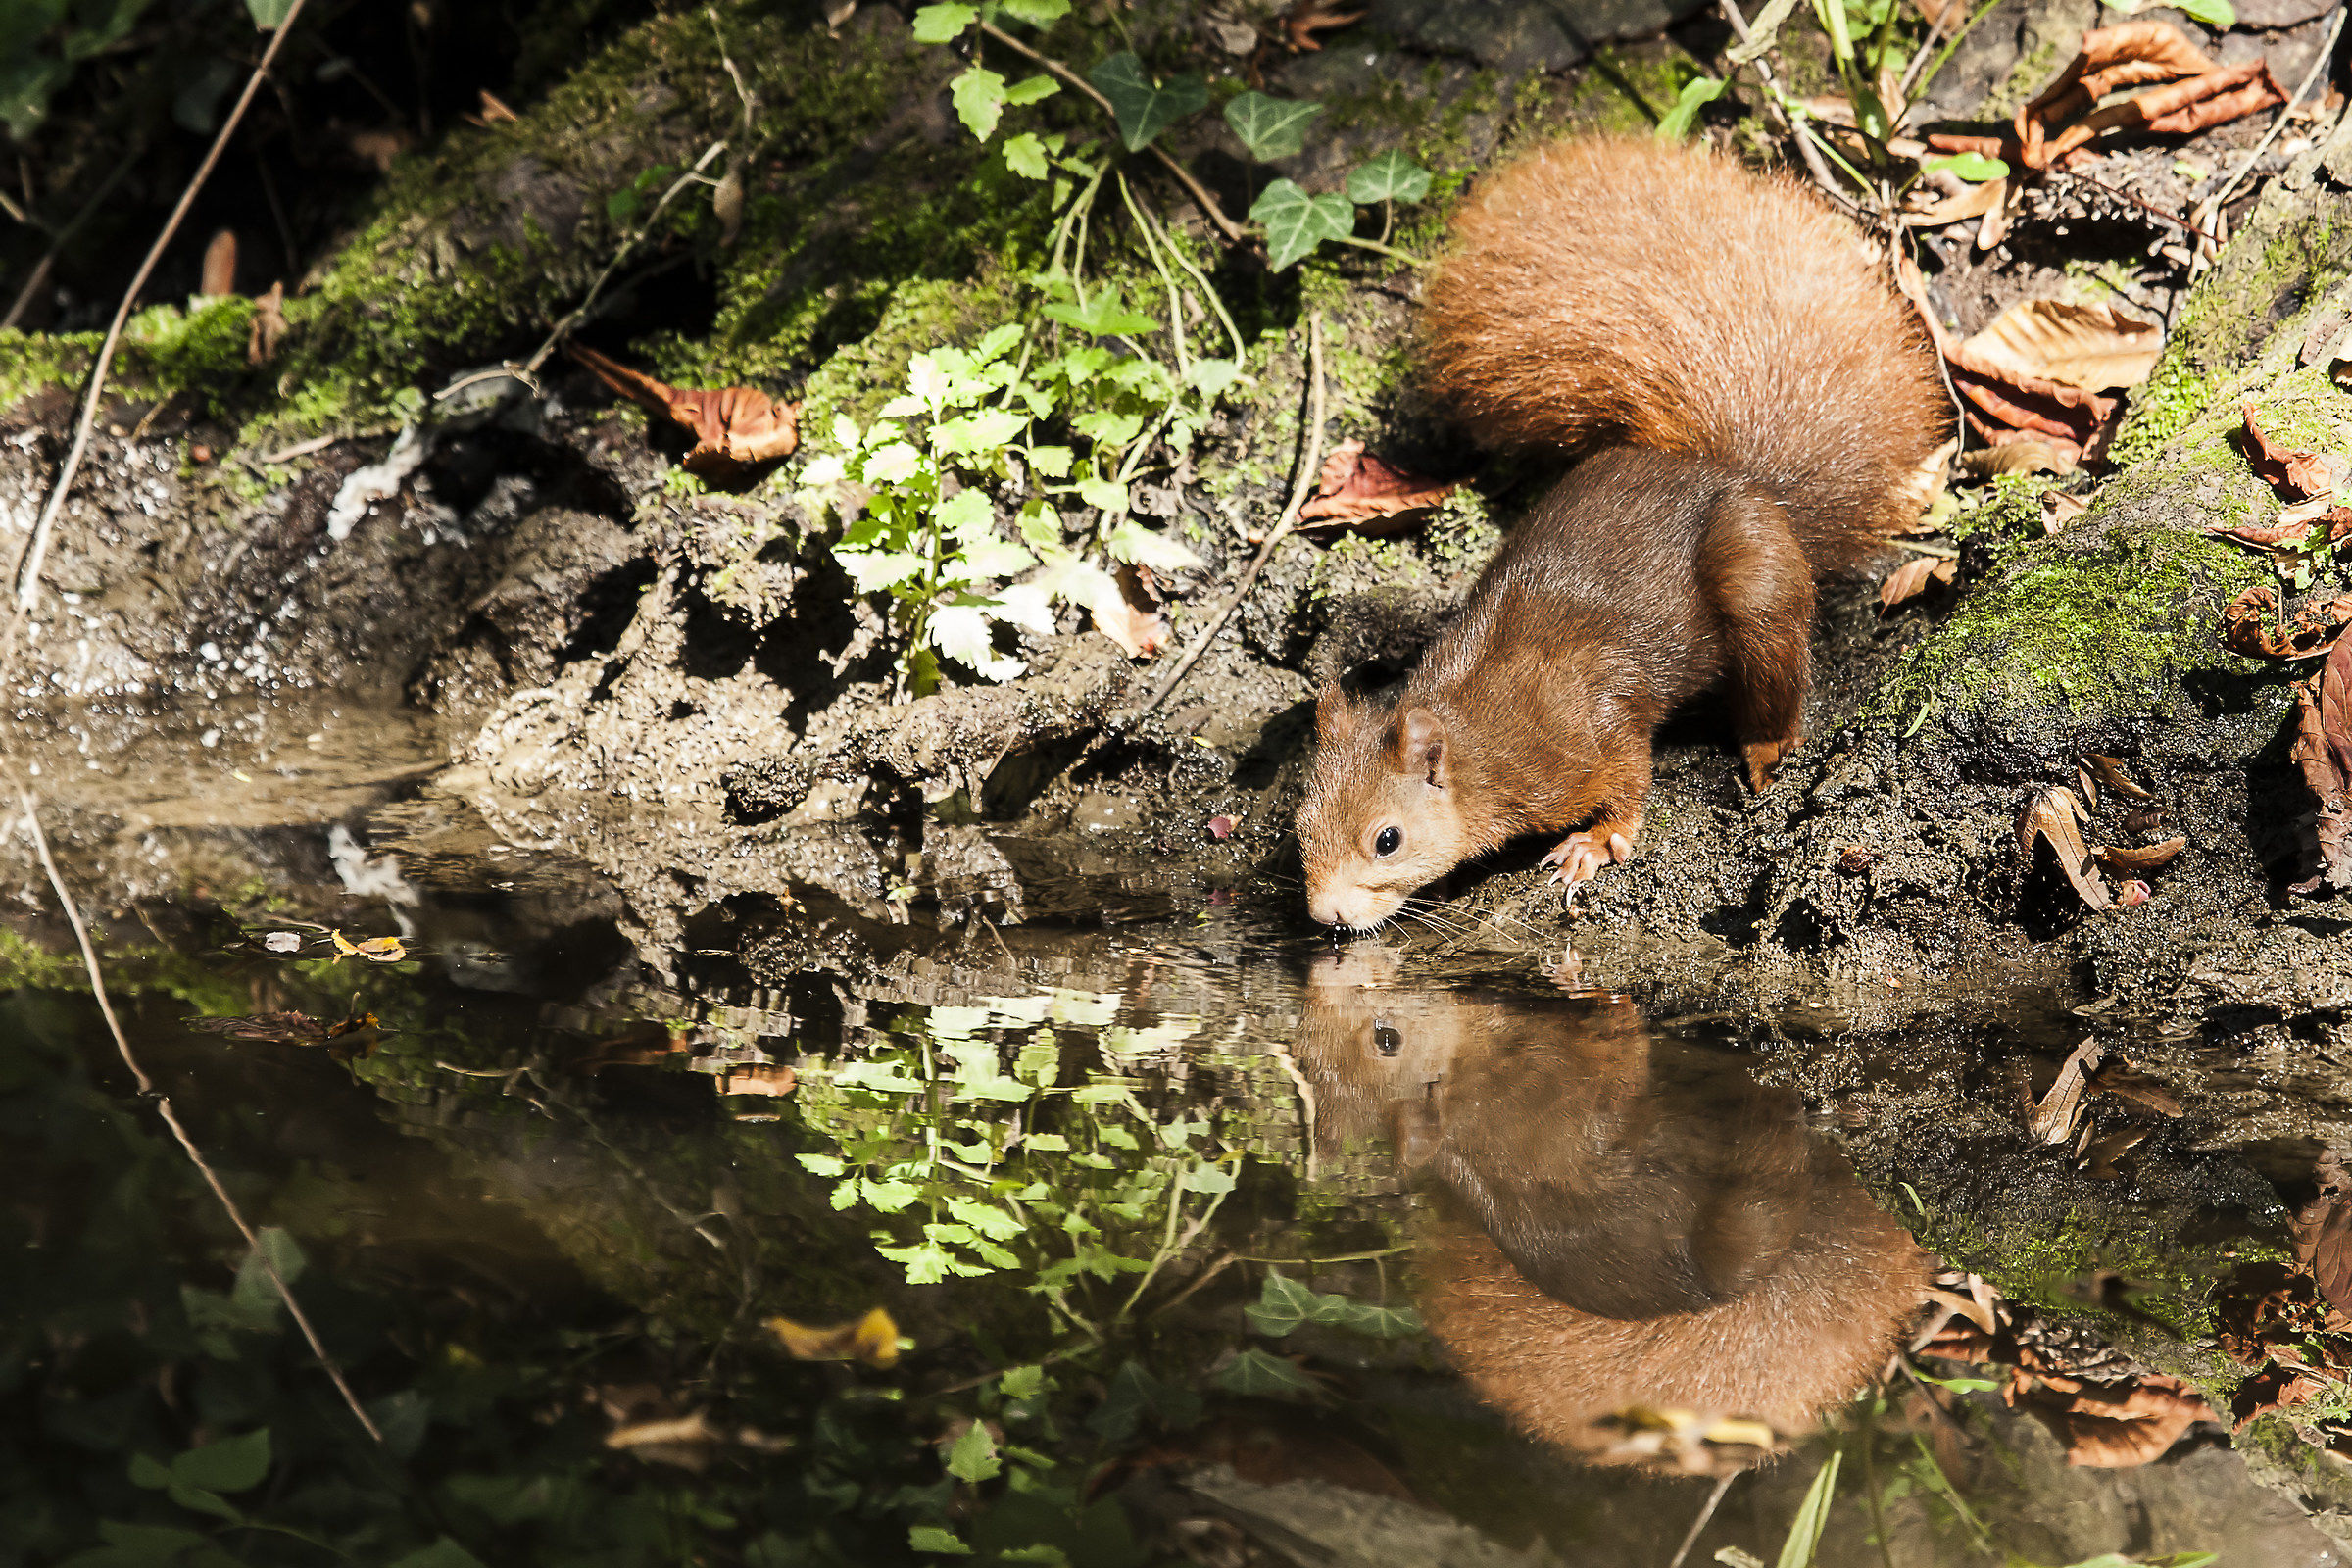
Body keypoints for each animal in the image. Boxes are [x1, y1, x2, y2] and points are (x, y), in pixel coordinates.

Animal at [1298, 136, 1948, 931]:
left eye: (1387, 839)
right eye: (1299, 825)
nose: (1325, 917)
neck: (1478, 741)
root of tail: (1733, 472)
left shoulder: (1590, 729)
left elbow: (1630, 777)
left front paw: (1595, 843)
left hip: (1755, 579)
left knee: (1778, 678)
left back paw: (1767, 749)